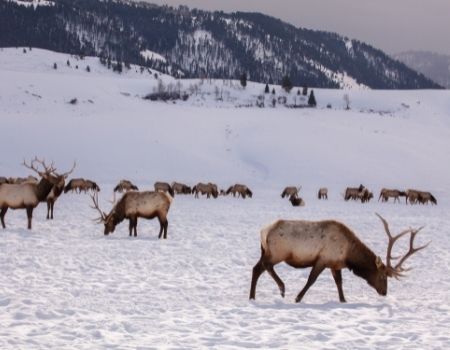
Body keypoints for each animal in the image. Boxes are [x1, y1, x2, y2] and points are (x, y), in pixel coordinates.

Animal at [250, 213, 428, 304]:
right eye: (383, 276)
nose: (384, 292)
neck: (349, 255)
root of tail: (263, 232)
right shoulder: (323, 259)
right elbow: (311, 280)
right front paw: (298, 297)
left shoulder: (335, 264)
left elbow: (339, 283)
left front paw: (343, 300)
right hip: (277, 253)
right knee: (266, 266)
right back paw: (282, 288)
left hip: (266, 251)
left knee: (256, 268)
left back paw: (252, 296)